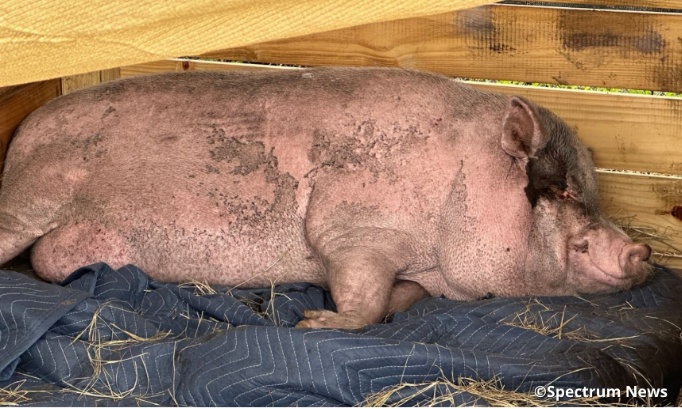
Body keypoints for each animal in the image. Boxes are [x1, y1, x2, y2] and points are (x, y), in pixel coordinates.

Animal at [0, 67, 652, 329]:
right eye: (558, 189)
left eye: (587, 193)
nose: (641, 251)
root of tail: (22, 137)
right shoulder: (355, 227)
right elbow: (361, 293)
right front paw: (313, 323)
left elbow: (397, 300)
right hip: (28, 199)